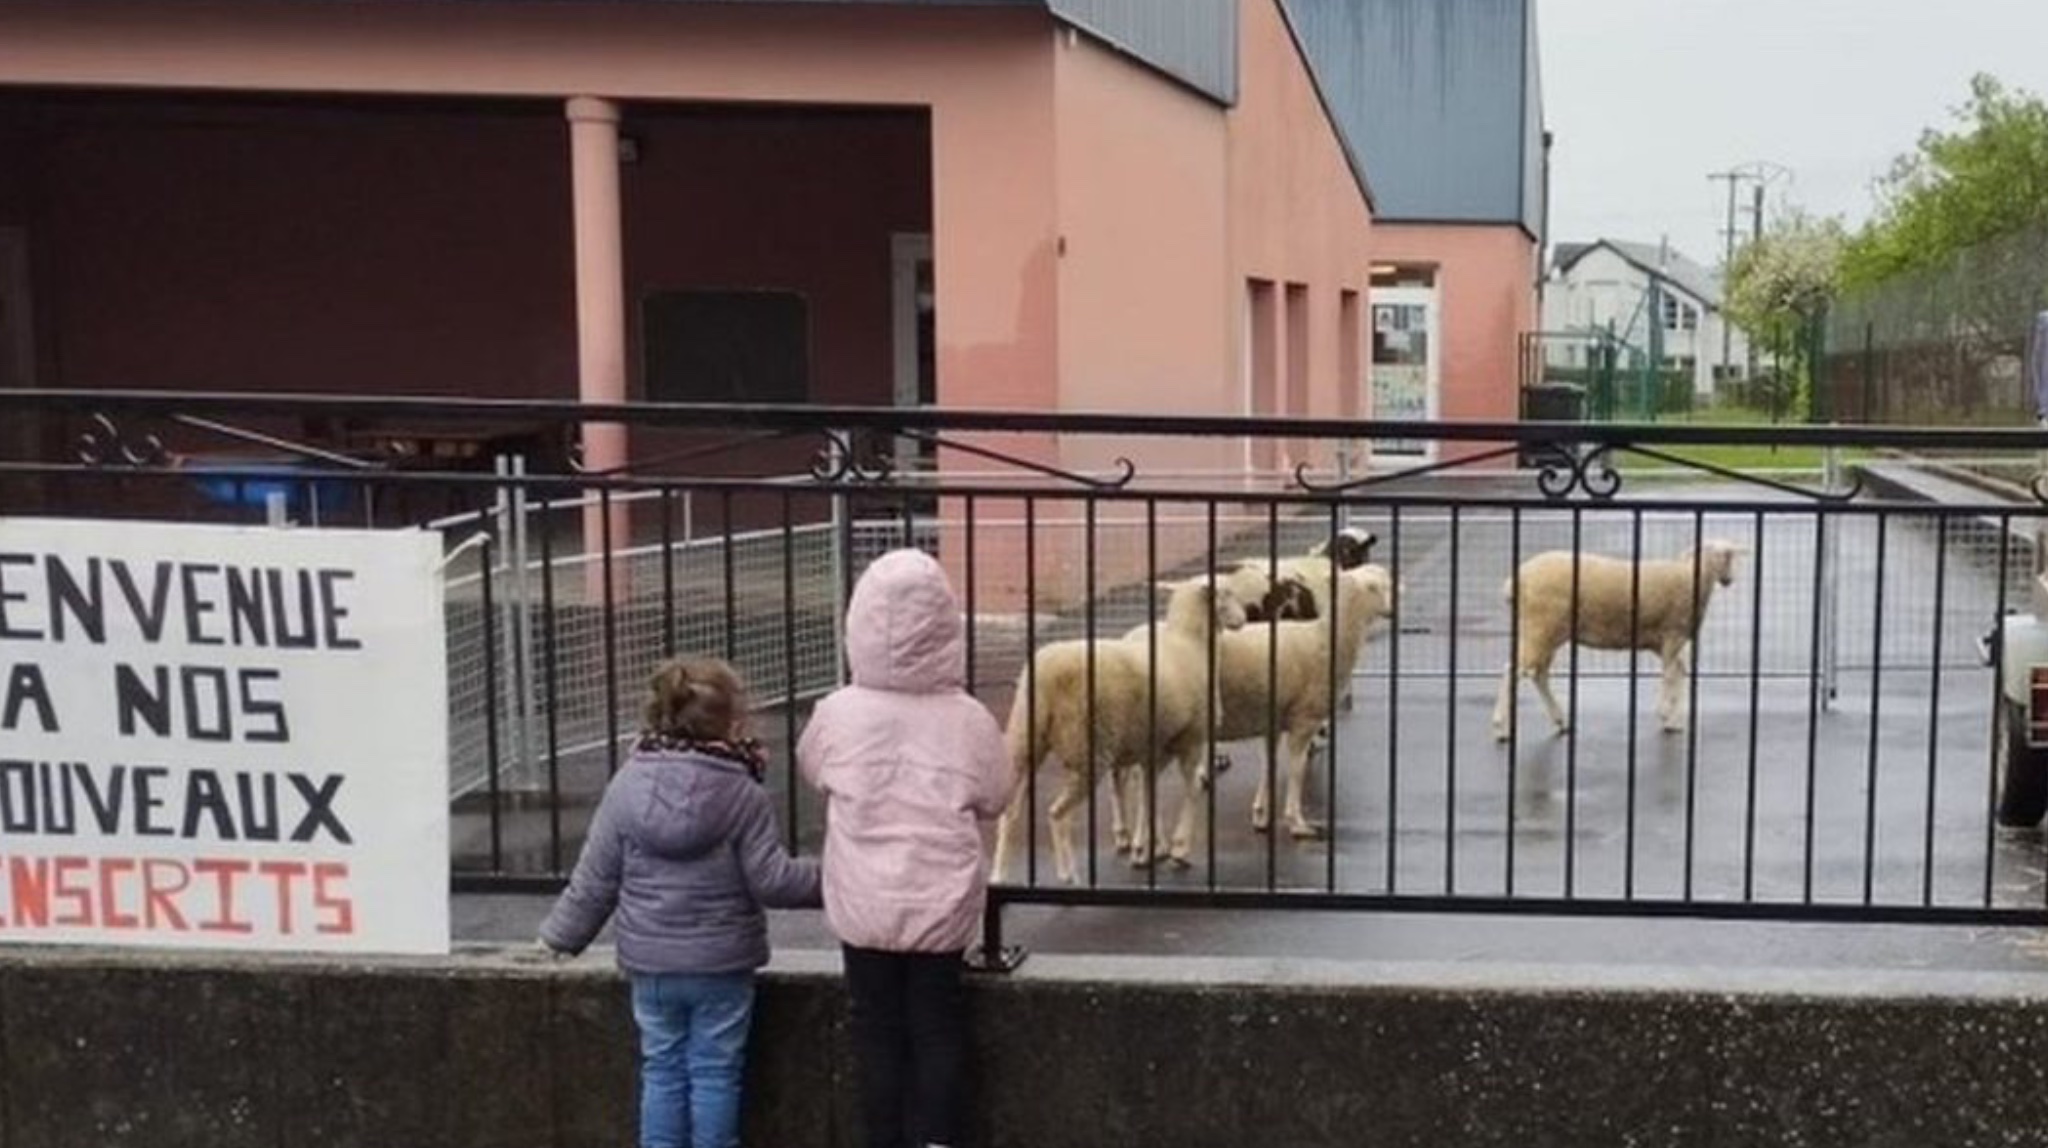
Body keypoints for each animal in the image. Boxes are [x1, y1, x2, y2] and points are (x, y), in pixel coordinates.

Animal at [991, 577, 1245, 879]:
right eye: (1226, 593)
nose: (1243, 619)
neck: (1188, 644)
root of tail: (1045, 674)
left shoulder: (1154, 749)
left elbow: (1148, 795)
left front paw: (1145, 848)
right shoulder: (1191, 738)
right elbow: (1191, 789)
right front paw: (1178, 849)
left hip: (1025, 741)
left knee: (1010, 812)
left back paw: (999, 873)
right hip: (1088, 750)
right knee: (1058, 814)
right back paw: (1068, 874)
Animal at [1490, 540, 1744, 744]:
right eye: (1726, 556)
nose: (1729, 580)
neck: (1693, 577)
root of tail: (1515, 581)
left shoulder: (1662, 641)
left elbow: (1679, 671)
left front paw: (1672, 720)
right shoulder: (1672, 634)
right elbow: (1671, 674)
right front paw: (1665, 714)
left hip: (1548, 633)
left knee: (1539, 675)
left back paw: (1560, 721)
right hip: (1540, 627)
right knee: (1513, 670)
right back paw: (1501, 728)